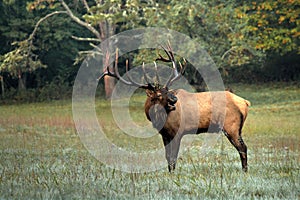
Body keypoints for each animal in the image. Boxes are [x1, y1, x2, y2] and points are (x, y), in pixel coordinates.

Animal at [98, 45, 251, 172]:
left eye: (167, 90)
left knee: (242, 148)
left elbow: (173, 157)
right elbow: (167, 157)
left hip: (231, 125)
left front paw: (173, 175)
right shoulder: (164, 135)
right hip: (237, 128)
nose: (174, 100)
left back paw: (244, 171)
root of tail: (245, 102)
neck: (159, 120)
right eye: (159, 94)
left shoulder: (178, 132)